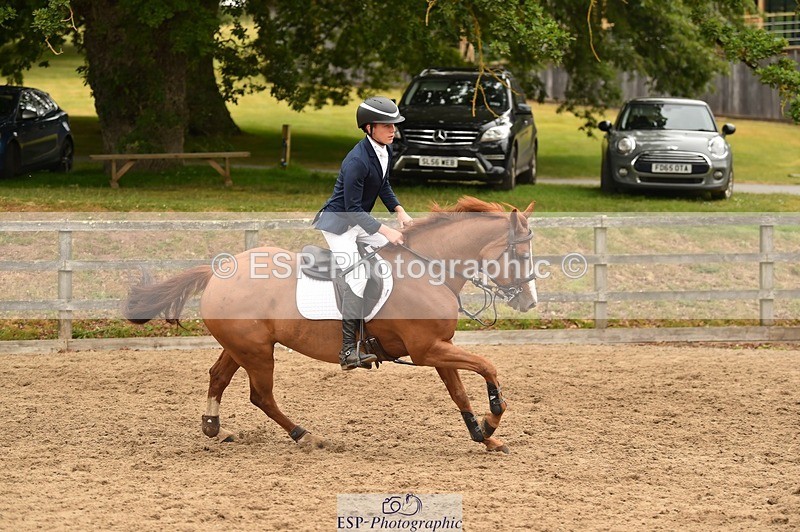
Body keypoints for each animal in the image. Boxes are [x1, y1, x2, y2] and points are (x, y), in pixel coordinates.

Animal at [124, 196, 537, 453]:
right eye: (519, 254)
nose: (529, 301)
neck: (427, 269)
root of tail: (219, 271)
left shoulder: (439, 347)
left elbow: (460, 394)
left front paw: (484, 436)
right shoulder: (427, 350)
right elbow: (487, 367)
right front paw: (492, 418)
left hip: (241, 346)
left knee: (218, 376)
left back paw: (214, 427)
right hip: (257, 351)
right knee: (261, 396)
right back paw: (304, 435)